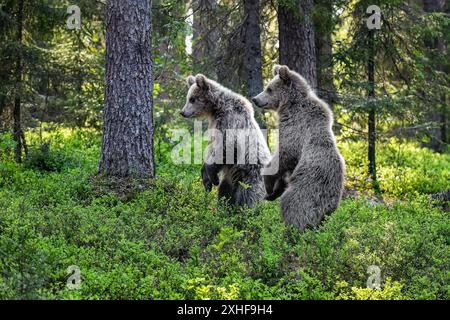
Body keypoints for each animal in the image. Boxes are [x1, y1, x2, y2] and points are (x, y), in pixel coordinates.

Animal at [180, 74, 270, 206]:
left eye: (192, 99)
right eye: (188, 98)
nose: (182, 112)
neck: (216, 108)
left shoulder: (231, 120)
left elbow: (227, 146)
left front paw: (212, 177)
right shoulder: (215, 124)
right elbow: (211, 148)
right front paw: (206, 180)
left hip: (251, 175)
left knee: (249, 196)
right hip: (230, 178)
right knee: (224, 191)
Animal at [253, 65, 344, 231]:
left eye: (269, 89)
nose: (255, 99)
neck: (289, 105)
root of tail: (325, 209)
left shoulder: (295, 128)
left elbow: (283, 156)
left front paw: (268, 184)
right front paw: (273, 193)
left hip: (307, 189)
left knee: (292, 205)